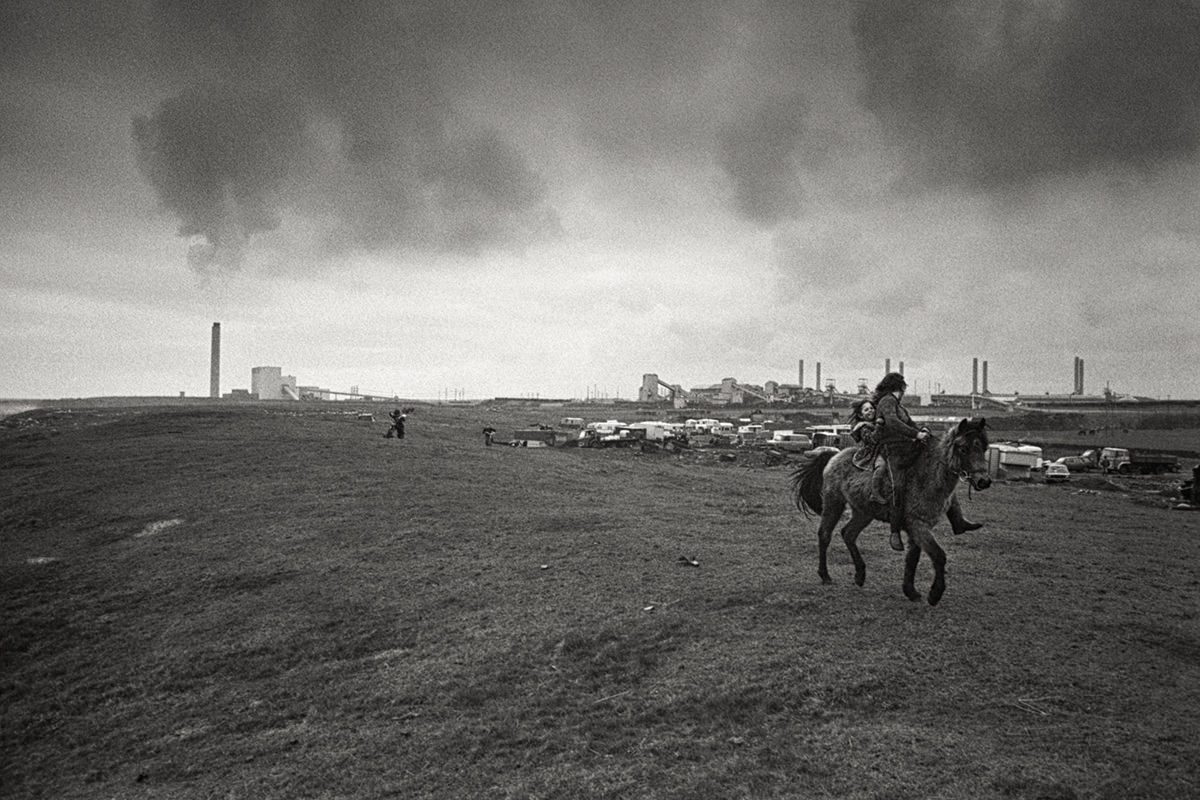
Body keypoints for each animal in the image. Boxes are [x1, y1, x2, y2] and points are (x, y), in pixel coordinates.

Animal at [787, 419, 993, 606]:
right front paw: (934, 594)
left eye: (984, 447)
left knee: (848, 534)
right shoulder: (917, 525)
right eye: (963, 448)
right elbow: (938, 556)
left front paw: (911, 591)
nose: (984, 481)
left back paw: (860, 575)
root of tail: (834, 455)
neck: (927, 477)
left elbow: (912, 559)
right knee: (825, 535)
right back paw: (825, 575)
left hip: (864, 512)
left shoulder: (917, 529)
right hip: (834, 503)